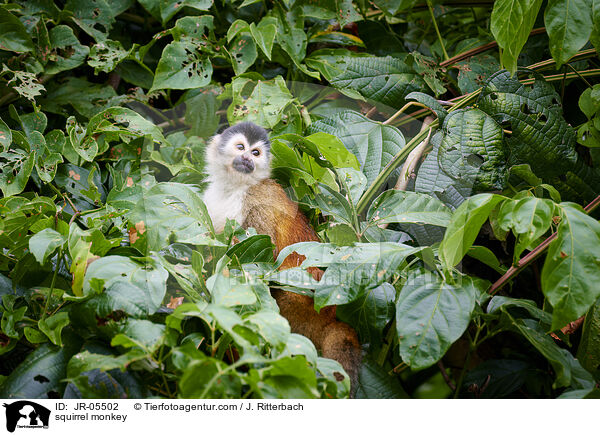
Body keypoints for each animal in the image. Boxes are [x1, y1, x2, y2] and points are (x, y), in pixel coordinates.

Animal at [202, 122, 360, 396]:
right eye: (241, 147)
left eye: (255, 153)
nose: (247, 159)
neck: (235, 187)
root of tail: (328, 318)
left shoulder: (259, 200)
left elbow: (266, 253)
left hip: (302, 313)